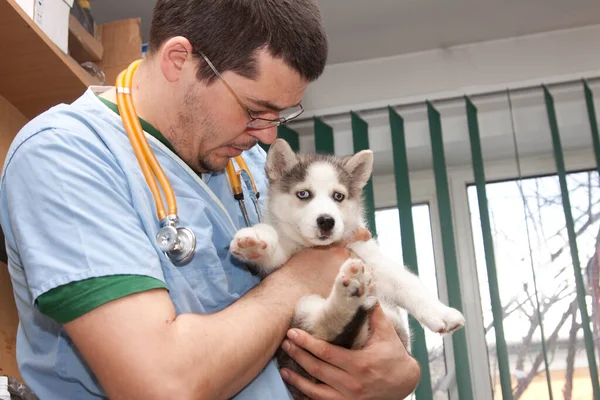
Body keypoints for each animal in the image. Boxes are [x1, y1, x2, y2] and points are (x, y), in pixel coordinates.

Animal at [230, 140, 464, 396]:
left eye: (338, 196)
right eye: (303, 194)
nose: (326, 221)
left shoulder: (371, 259)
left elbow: (408, 282)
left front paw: (442, 313)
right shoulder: (280, 258)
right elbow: (269, 240)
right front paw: (254, 241)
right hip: (300, 315)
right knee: (323, 328)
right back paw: (348, 292)